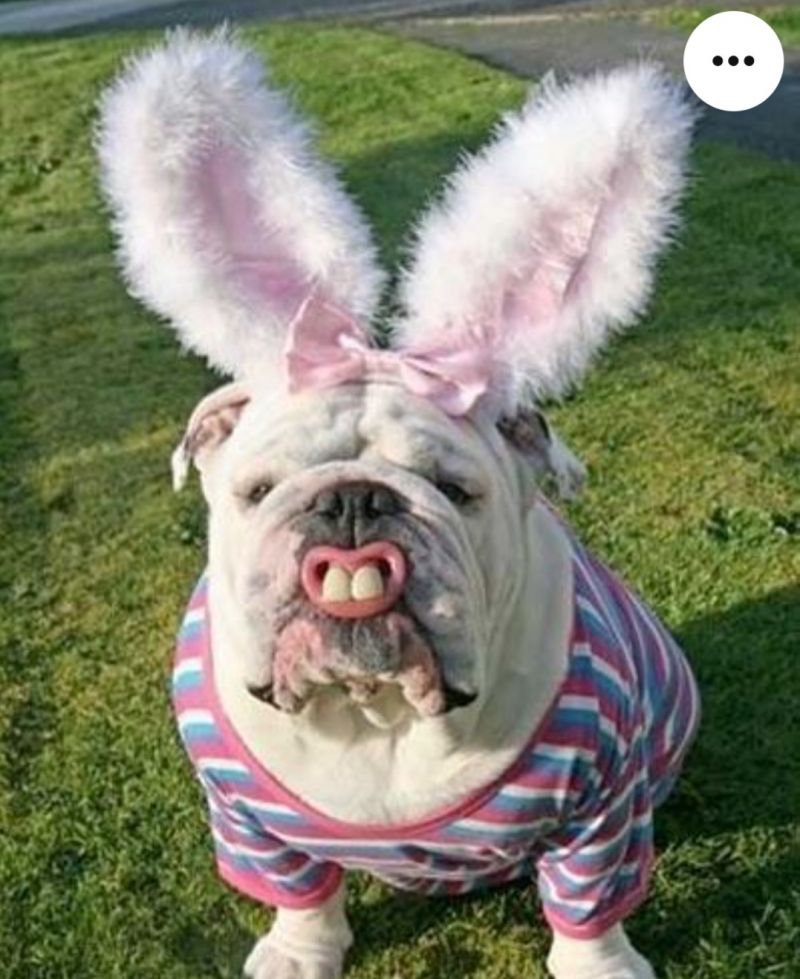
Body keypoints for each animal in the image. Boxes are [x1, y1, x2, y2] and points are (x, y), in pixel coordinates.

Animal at [98, 31, 700, 979]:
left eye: (456, 490)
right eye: (257, 490)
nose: (351, 503)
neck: (373, 713)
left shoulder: (602, 809)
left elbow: (590, 907)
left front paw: (599, 967)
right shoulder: (250, 822)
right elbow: (302, 891)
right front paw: (299, 952)